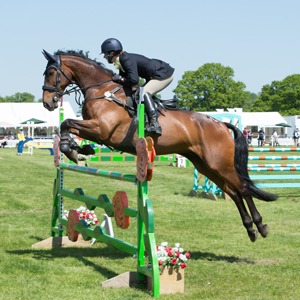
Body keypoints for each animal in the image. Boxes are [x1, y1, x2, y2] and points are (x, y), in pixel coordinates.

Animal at [41, 48, 278, 241]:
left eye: (51, 72)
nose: (47, 103)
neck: (103, 92)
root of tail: (220, 123)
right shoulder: (97, 131)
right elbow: (66, 126)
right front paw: (77, 150)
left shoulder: (102, 130)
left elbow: (67, 122)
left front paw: (73, 150)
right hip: (205, 165)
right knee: (234, 192)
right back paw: (251, 229)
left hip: (220, 164)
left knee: (243, 188)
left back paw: (261, 226)